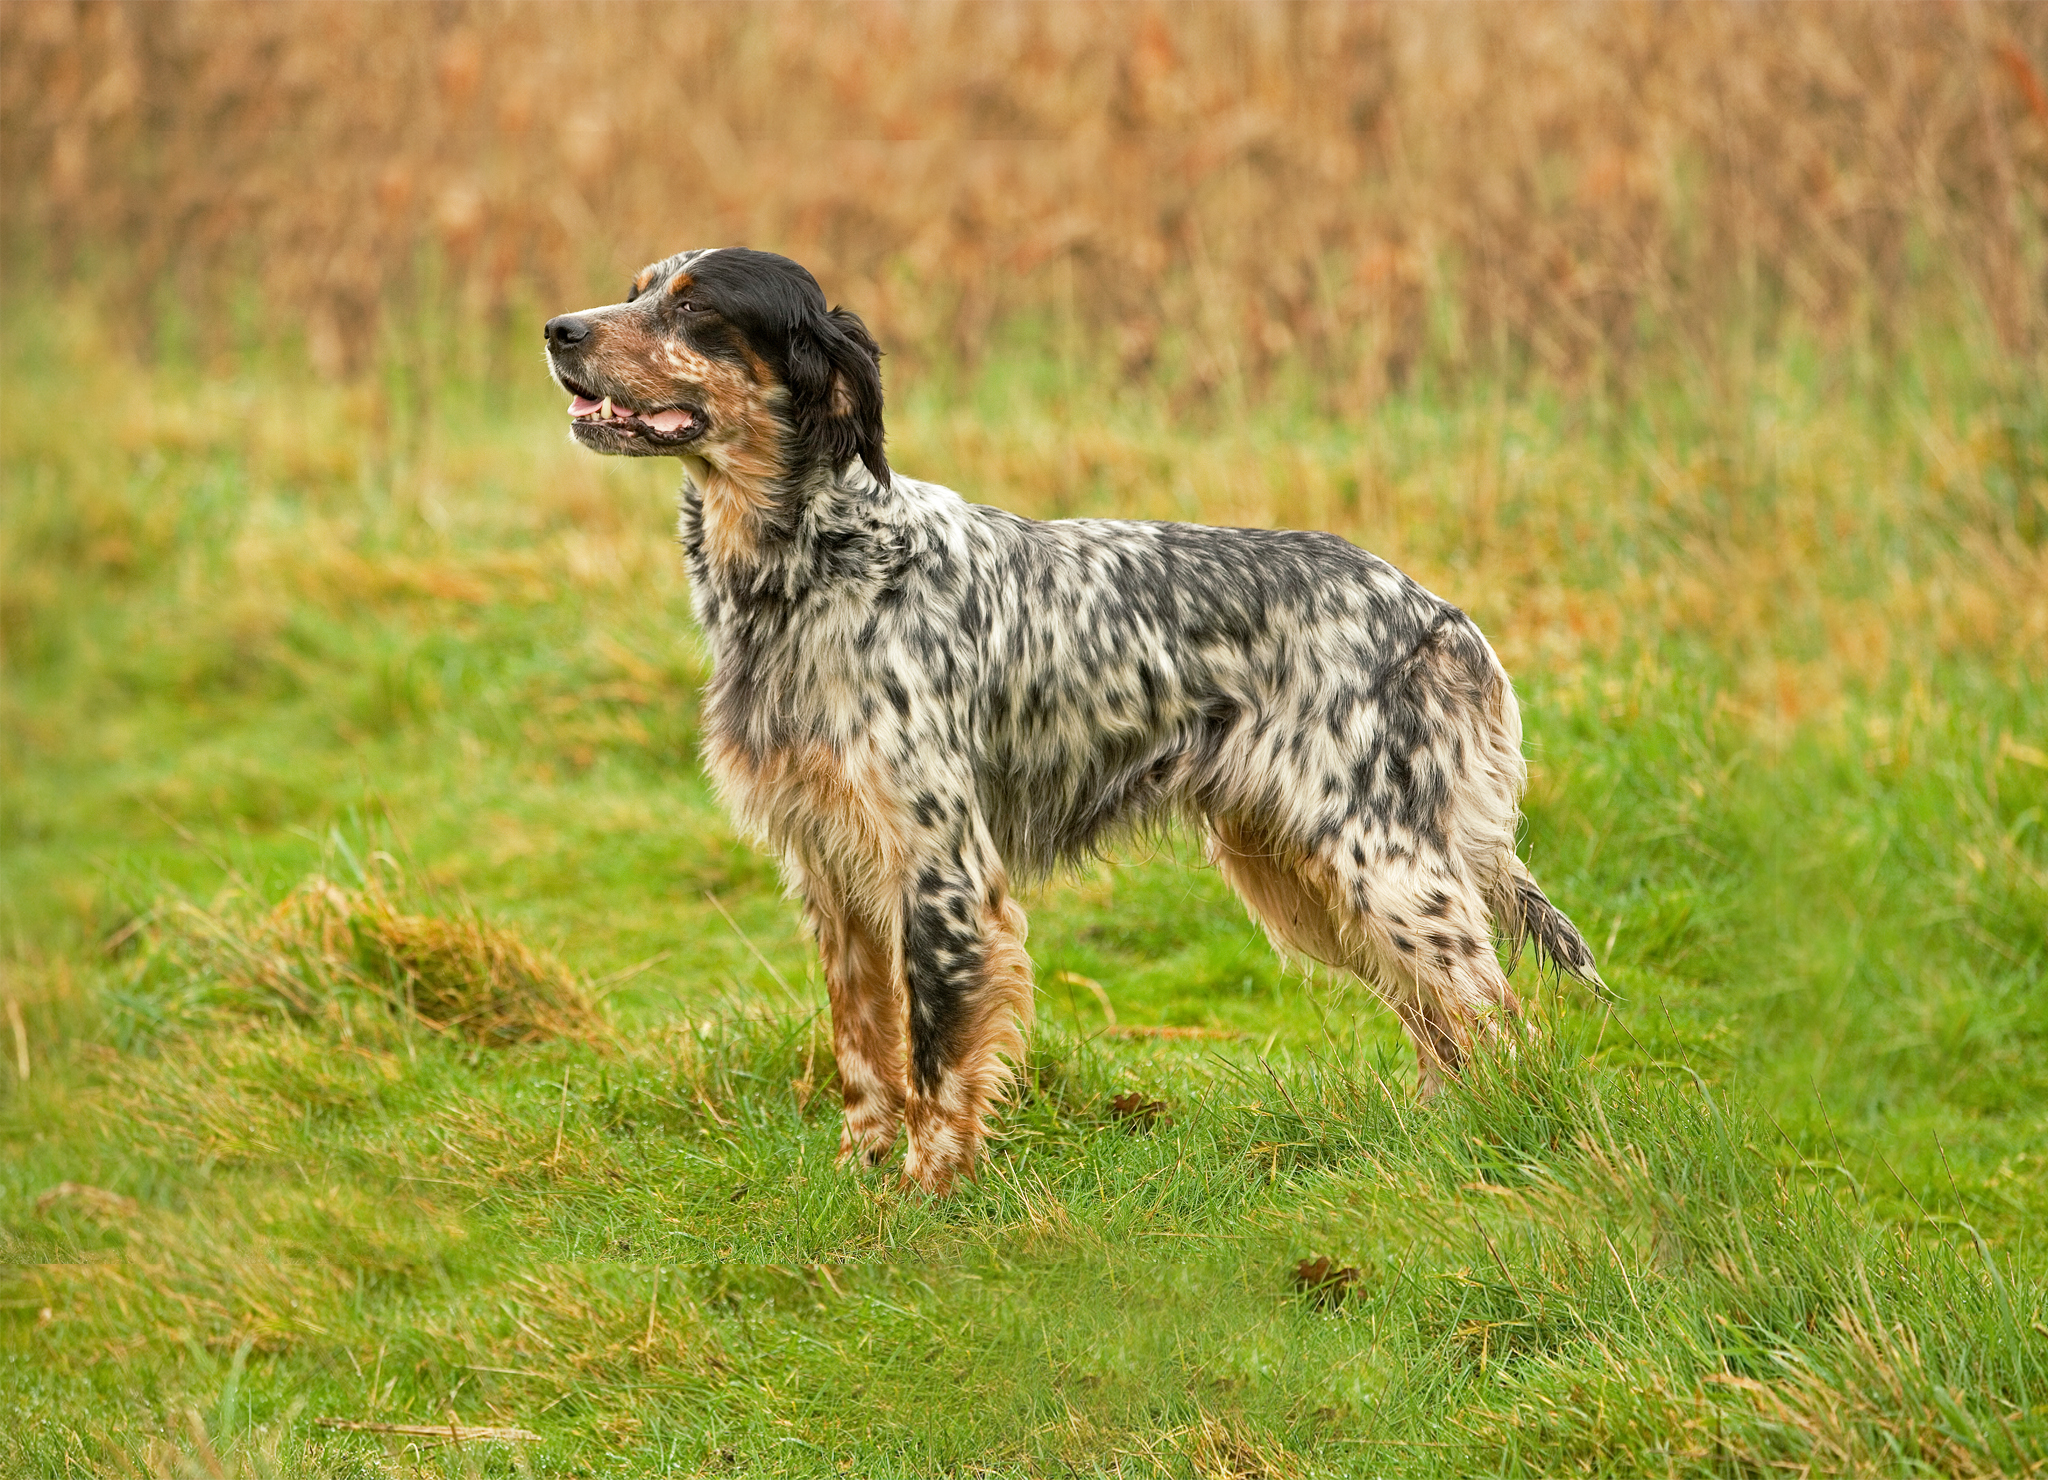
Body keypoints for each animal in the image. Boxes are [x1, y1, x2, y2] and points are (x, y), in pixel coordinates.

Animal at [540, 243, 1597, 1195]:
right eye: (634, 290)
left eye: (694, 308)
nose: (558, 329)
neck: (816, 568)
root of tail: (1438, 613)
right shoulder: (830, 869)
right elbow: (863, 1049)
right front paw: (859, 1172)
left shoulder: (942, 869)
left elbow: (936, 1055)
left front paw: (927, 1195)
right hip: (1307, 876)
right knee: (1445, 1025)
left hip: (1385, 867)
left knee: (1496, 1019)